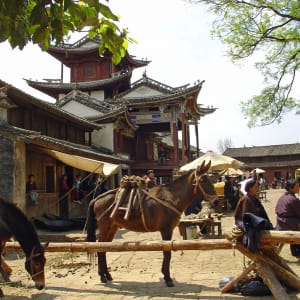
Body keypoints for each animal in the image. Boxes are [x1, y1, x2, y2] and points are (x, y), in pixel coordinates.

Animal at [86, 161, 218, 288]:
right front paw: (168, 278)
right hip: (105, 227)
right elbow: (167, 253)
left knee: (103, 248)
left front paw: (166, 276)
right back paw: (102, 276)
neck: (171, 199)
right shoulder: (166, 230)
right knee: (99, 248)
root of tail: (97, 198)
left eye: (210, 179)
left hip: (112, 228)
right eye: (203, 180)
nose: (216, 201)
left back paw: (107, 275)